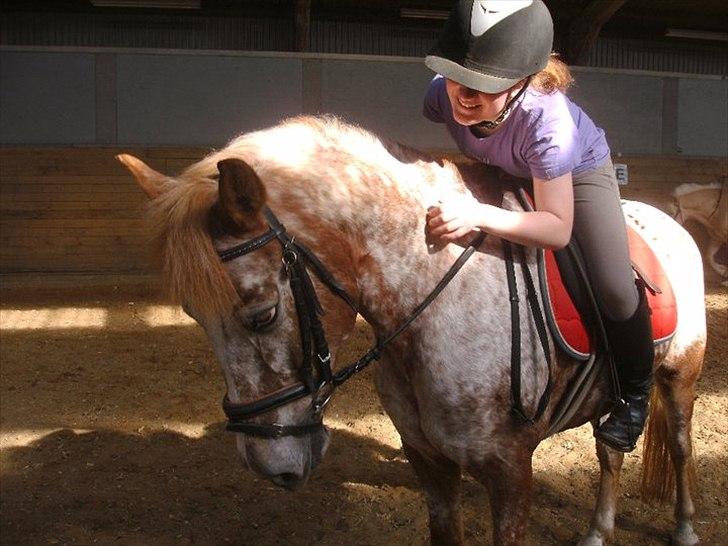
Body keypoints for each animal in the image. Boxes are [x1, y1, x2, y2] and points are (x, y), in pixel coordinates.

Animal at [118, 115, 706, 546]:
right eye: (193, 315)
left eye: (261, 313)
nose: (270, 467)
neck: (429, 300)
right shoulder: (428, 461)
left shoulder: (510, 469)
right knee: (610, 453)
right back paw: (598, 531)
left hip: (680, 374)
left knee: (678, 445)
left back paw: (684, 527)